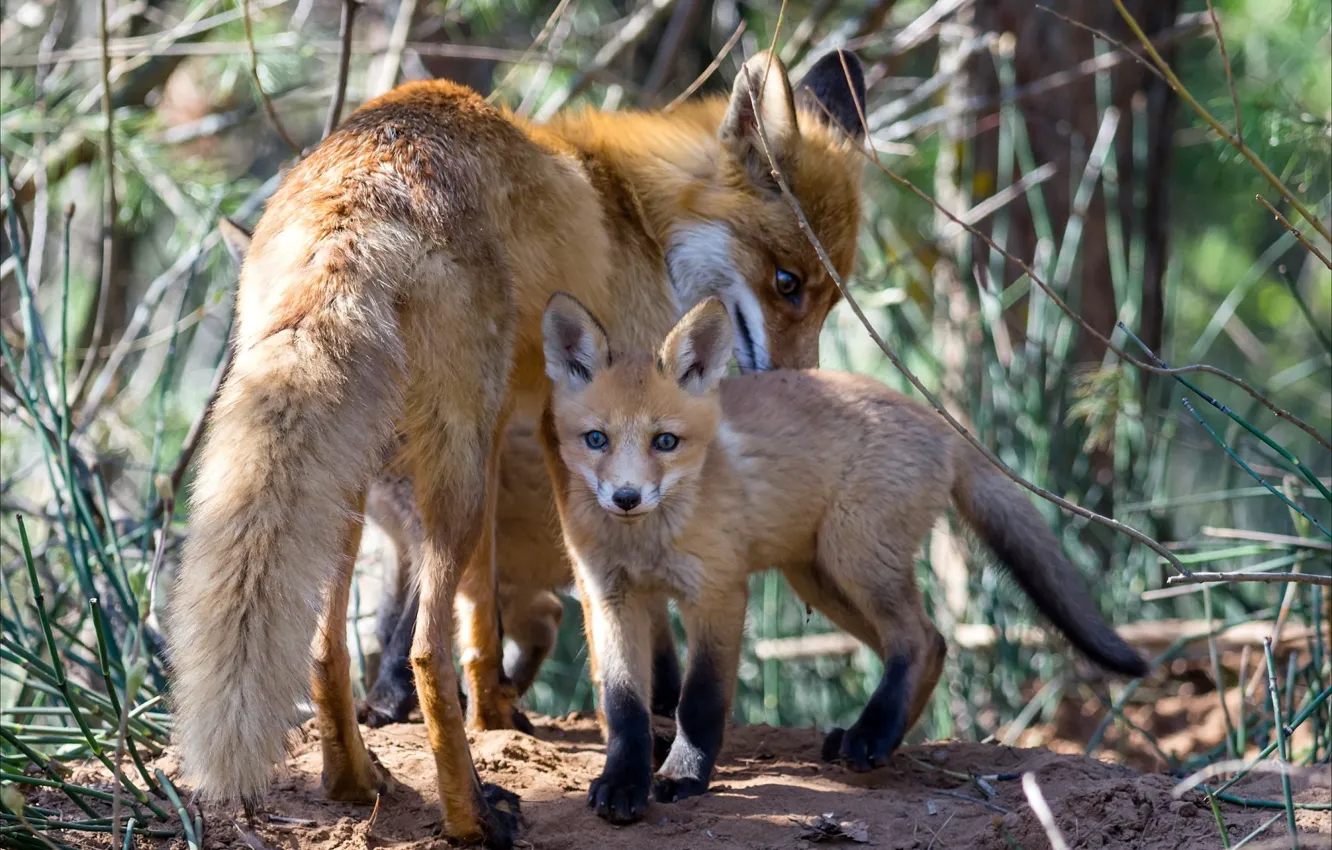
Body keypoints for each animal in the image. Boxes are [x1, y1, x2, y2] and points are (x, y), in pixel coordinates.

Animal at [166, 49, 870, 848]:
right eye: (787, 282)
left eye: (832, 296)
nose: (804, 385)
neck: (636, 218)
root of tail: (353, 185)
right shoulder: (578, 431)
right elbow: (603, 609)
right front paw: (637, 737)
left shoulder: (512, 426)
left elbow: (484, 613)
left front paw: (501, 713)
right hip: (453, 466)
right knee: (425, 651)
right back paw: (471, 815)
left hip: (365, 472)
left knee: (326, 646)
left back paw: (356, 782)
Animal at [537, 293, 1151, 825]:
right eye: (596, 439)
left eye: (665, 441)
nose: (626, 497)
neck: (645, 541)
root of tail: (938, 420)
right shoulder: (610, 597)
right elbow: (624, 708)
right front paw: (623, 782)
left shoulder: (718, 593)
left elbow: (701, 702)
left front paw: (684, 775)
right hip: (821, 579)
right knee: (930, 646)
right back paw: (877, 737)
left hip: (852, 559)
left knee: (920, 638)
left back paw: (871, 737)